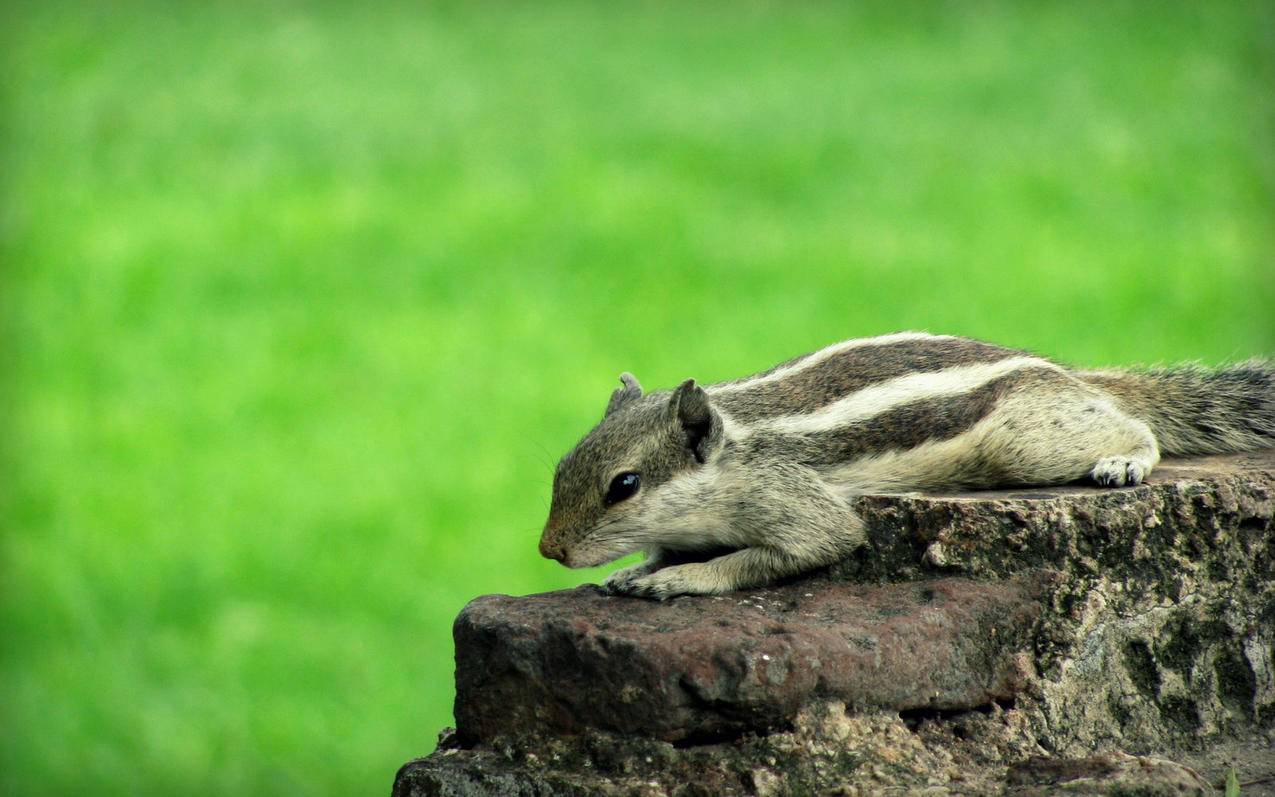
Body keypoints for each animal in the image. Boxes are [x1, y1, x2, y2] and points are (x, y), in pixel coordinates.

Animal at [538, 329, 1275, 596]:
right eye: (560, 465)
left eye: (624, 485)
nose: (549, 550)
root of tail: (1063, 372)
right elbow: (663, 548)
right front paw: (638, 569)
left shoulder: (791, 499)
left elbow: (807, 544)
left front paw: (683, 579)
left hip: (1027, 443)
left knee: (1134, 425)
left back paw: (1124, 459)